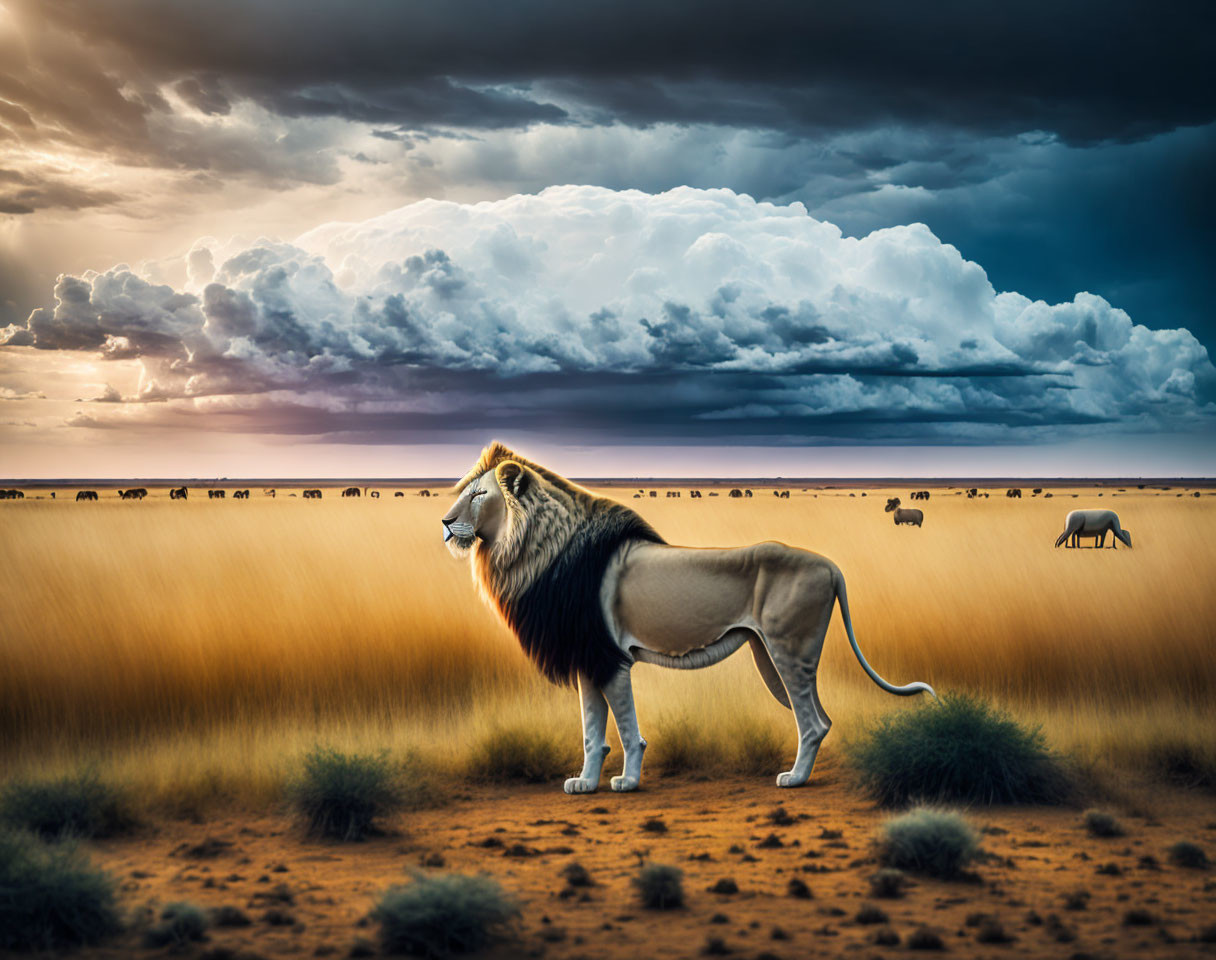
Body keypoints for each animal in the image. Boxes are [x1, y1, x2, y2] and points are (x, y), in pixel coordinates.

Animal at [442, 442, 933, 793]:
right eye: (463, 493)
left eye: (479, 494)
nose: (445, 523)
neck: (535, 551)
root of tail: (831, 566)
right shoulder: (589, 658)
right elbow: (590, 730)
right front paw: (584, 784)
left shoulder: (612, 658)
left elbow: (627, 728)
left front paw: (628, 782)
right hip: (774, 655)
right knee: (822, 719)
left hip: (788, 652)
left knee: (812, 722)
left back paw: (794, 780)